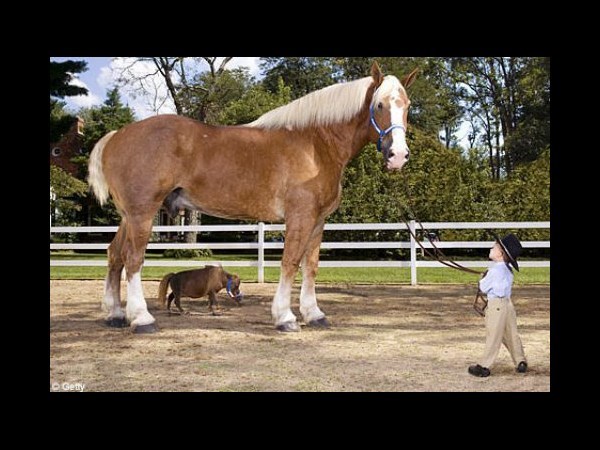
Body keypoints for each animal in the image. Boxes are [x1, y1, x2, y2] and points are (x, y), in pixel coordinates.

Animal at [89, 61, 418, 332]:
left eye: (407, 106)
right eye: (379, 105)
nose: (398, 156)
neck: (315, 144)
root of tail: (117, 136)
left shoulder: (318, 221)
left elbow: (310, 266)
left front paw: (314, 314)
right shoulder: (300, 217)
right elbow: (290, 262)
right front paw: (285, 317)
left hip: (128, 216)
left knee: (114, 255)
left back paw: (115, 315)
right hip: (142, 213)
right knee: (132, 259)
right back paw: (141, 319)